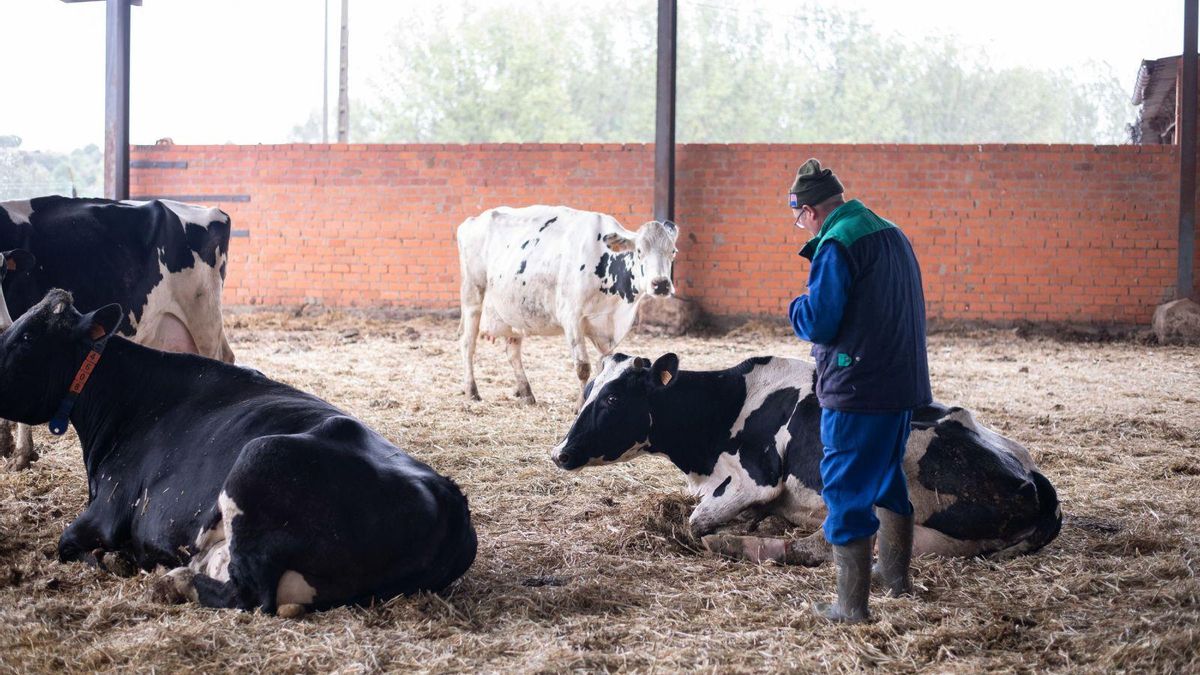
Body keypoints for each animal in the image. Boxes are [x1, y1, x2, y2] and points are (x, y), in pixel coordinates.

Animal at [0, 285, 477, 612]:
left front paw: (111, 560)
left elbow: (67, 542)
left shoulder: (108, 508)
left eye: (25, 338)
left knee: (249, 593)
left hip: (259, 457)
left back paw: (172, 581)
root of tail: (447, 495)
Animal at [453, 204, 676, 403]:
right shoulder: (572, 317)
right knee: (467, 343)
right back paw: (472, 391)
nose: (661, 284)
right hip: (473, 296)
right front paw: (579, 406)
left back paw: (526, 393)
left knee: (512, 351)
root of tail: (471, 221)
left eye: (673, 251)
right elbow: (583, 367)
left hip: (515, 311)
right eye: (639, 251)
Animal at [549, 348, 1060, 559]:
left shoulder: (756, 479)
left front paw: (725, 529)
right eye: (589, 390)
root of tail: (1032, 476)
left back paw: (738, 544)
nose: (560, 453)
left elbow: (696, 521)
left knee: (823, 546)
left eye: (614, 399)